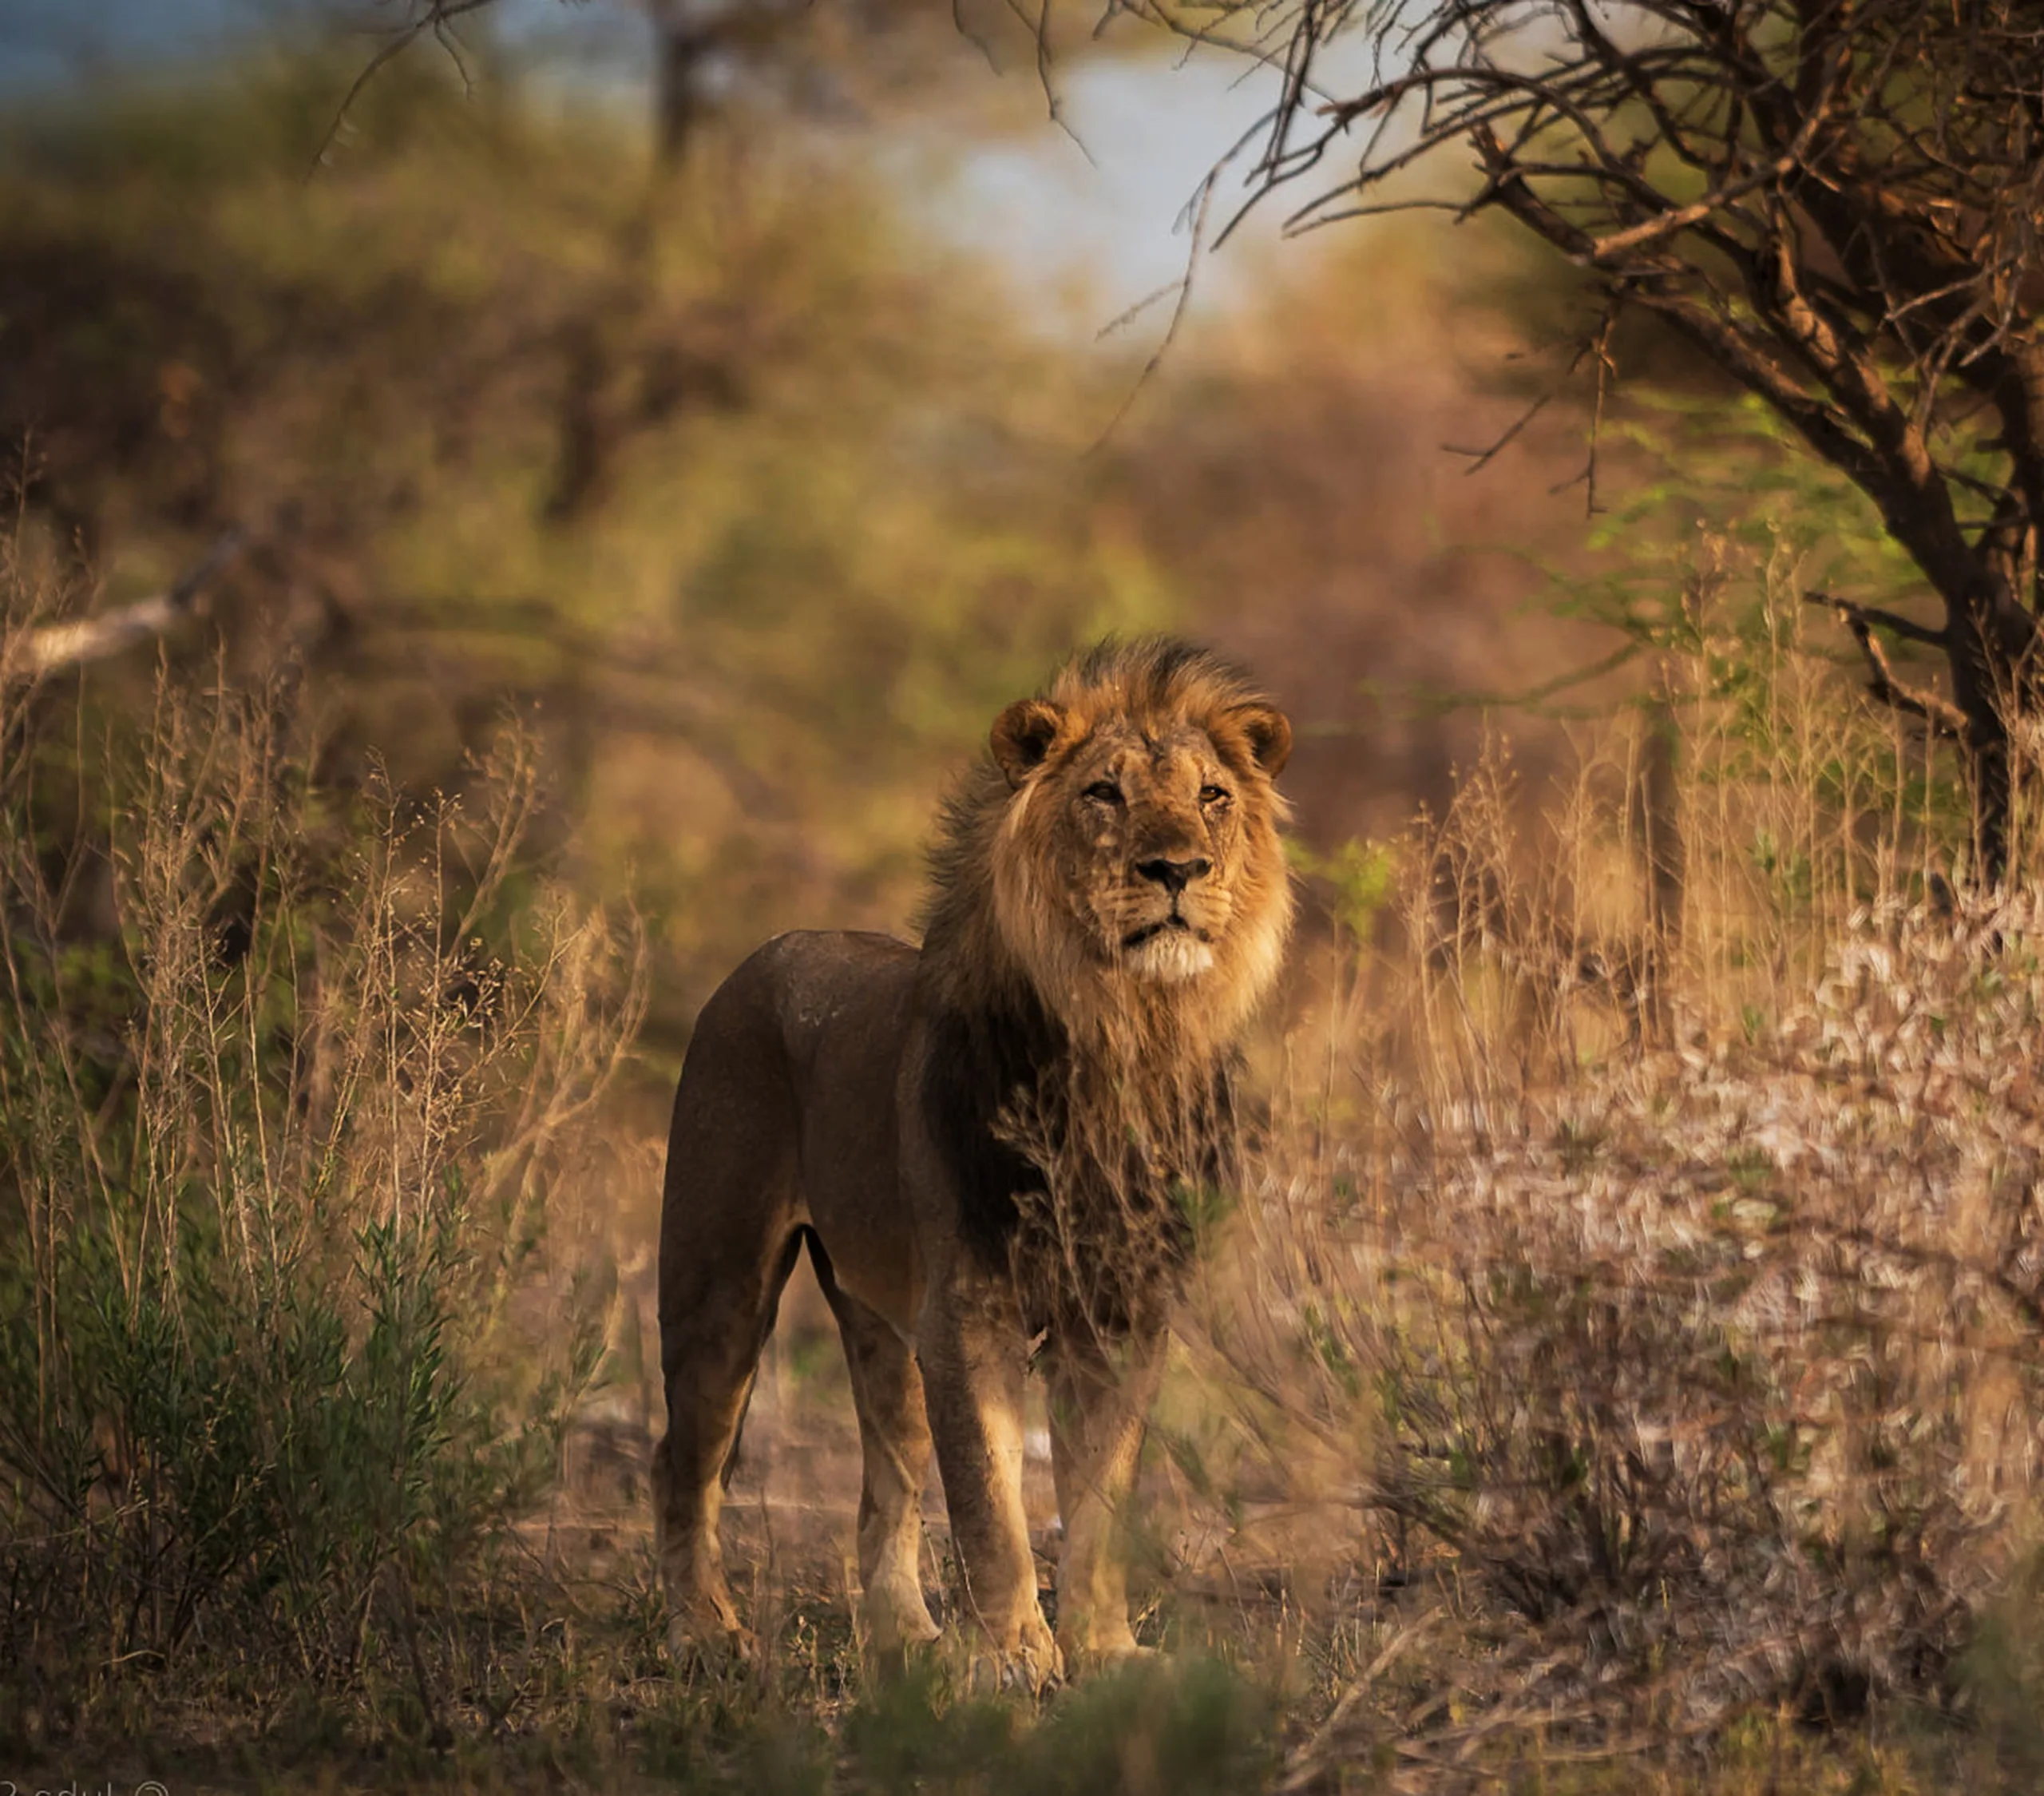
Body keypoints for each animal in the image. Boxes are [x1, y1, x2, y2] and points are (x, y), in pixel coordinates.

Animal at [652, 637, 1294, 1683]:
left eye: (1212, 796)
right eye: (1104, 792)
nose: (1178, 868)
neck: (1125, 1035)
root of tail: (773, 946)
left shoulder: (1120, 1318)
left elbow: (1100, 1502)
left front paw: (1103, 1648)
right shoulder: (968, 1316)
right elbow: (992, 1506)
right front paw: (1016, 1658)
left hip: (883, 1326)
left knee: (884, 1485)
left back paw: (906, 1635)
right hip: (720, 1283)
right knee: (682, 1459)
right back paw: (707, 1629)